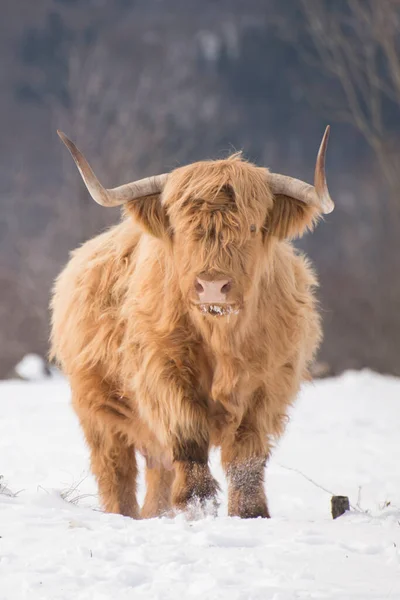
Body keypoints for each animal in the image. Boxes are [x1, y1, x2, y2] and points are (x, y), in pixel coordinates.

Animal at [50, 127, 332, 520]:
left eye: (252, 226)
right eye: (182, 229)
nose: (212, 285)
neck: (221, 336)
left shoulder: (268, 383)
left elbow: (247, 455)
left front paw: (250, 512)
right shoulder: (164, 373)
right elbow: (187, 437)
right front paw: (197, 503)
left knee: (158, 471)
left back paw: (158, 513)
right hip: (96, 409)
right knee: (116, 469)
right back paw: (124, 514)